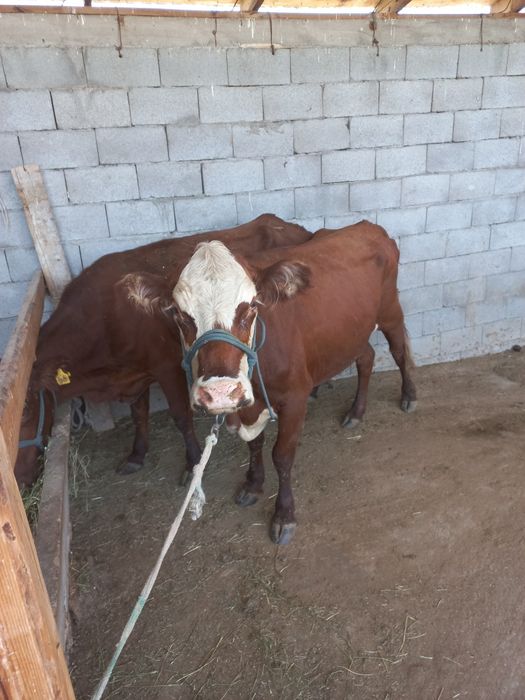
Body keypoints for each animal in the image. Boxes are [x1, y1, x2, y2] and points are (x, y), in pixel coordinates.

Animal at [22, 215, 311, 486]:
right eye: (178, 315)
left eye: (24, 411)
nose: (22, 479)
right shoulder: (135, 373)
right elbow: (138, 413)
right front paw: (137, 454)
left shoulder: (167, 368)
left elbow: (180, 416)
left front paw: (193, 462)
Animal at [129, 221, 417, 544]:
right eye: (179, 314)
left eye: (252, 306)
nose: (220, 391)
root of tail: (368, 226)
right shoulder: (246, 404)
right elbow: (255, 444)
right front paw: (253, 485)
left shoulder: (295, 398)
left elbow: (282, 455)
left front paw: (284, 515)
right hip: (352, 331)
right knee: (366, 358)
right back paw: (356, 412)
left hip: (390, 311)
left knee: (399, 351)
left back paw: (409, 395)